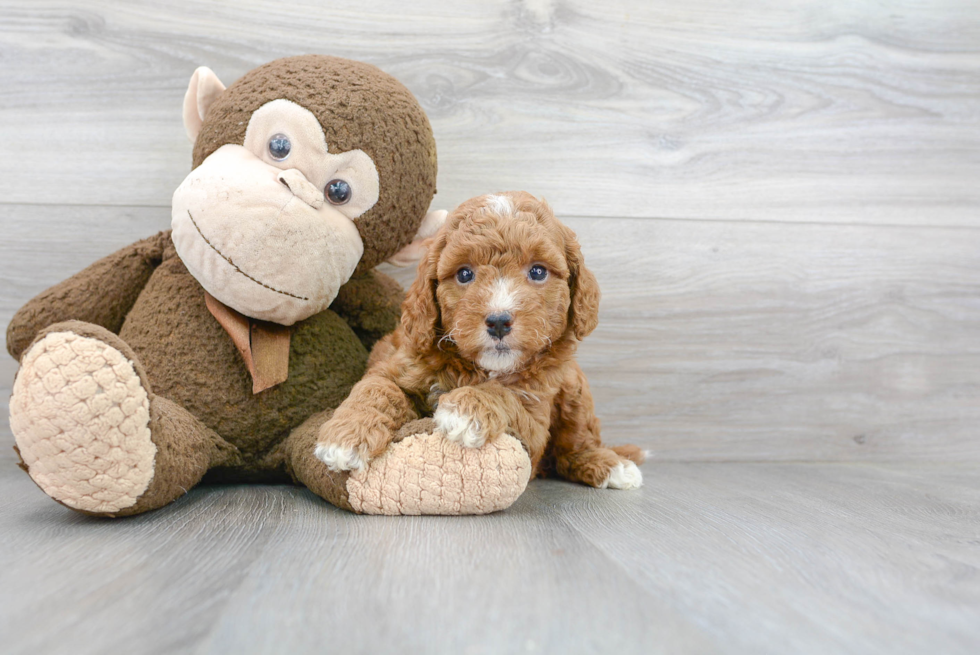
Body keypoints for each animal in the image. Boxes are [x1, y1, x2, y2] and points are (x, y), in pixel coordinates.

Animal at [314, 192, 648, 490]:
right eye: (464, 274)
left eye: (538, 271)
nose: (499, 321)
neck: (481, 368)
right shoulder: (397, 364)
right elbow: (377, 388)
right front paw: (344, 437)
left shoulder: (534, 420)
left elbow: (505, 394)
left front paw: (465, 409)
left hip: (575, 389)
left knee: (575, 446)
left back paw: (611, 466)